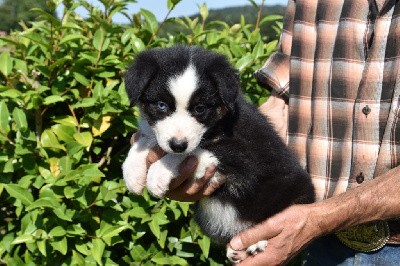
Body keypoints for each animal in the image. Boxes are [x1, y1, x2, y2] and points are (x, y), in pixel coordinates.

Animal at [122, 45, 316, 262]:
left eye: (200, 108)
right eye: (161, 105)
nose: (178, 144)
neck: (217, 124)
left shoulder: (245, 155)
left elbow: (198, 150)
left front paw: (158, 174)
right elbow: (145, 142)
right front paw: (132, 173)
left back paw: (256, 242)